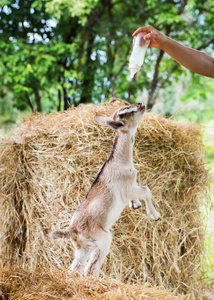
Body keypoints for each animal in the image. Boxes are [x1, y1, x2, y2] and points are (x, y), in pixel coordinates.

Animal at [50, 102, 160, 276]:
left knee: (75, 267)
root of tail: (72, 230)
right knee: (91, 269)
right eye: (126, 113)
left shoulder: (131, 187)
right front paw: (155, 215)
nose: (140, 104)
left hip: (82, 248)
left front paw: (136, 205)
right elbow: (146, 190)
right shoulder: (128, 188)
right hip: (102, 241)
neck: (119, 161)